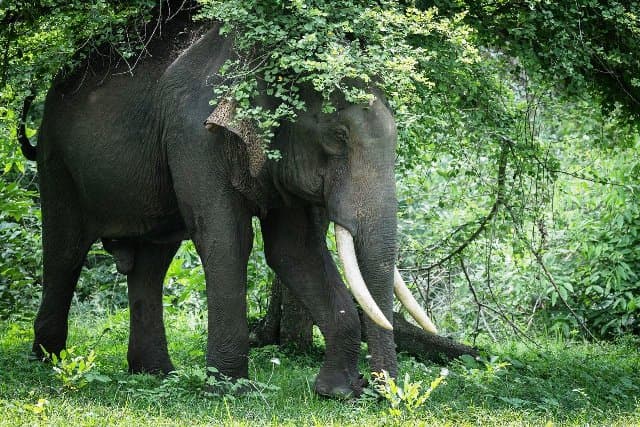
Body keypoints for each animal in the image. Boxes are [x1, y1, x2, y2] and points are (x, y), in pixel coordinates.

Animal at [19, 16, 436, 397]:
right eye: (338, 136)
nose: (382, 393)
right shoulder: (194, 136)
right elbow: (227, 240)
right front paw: (230, 389)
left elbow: (294, 251)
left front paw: (336, 392)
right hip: (56, 161)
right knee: (65, 251)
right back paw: (49, 361)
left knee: (151, 263)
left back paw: (155, 374)